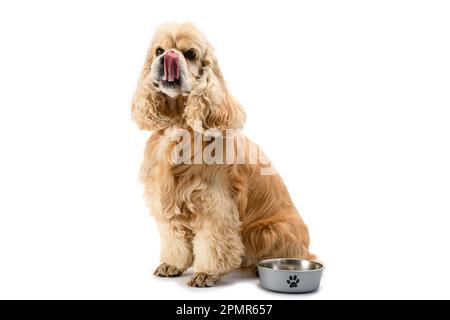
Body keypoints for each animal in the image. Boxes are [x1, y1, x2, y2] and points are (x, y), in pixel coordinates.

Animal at [132, 22, 314, 288]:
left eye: (190, 54)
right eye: (158, 51)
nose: (168, 57)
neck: (180, 126)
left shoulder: (215, 206)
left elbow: (213, 243)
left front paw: (206, 274)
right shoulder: (167, 198)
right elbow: (174, 239)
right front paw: (172, 265)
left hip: (268, 230)